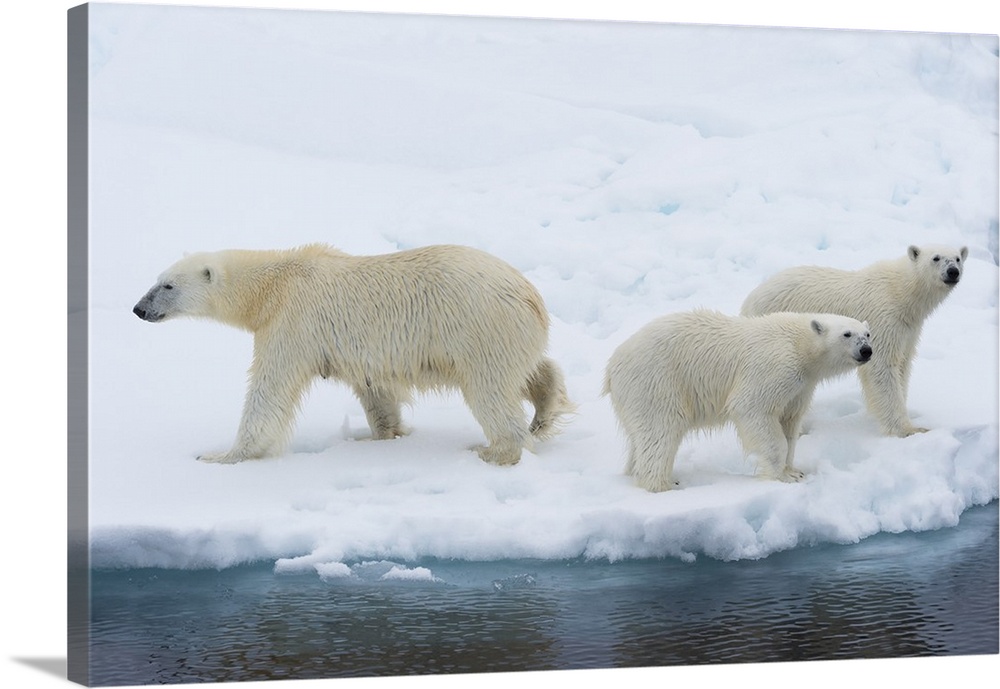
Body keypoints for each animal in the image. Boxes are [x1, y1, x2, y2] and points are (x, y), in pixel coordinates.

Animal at [134, 245, 576, 464]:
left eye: (168, 285)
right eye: (157, 280)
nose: (139, 308)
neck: (275, 283)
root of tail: (530, 295)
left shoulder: (294, 323)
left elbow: (269, 390)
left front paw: (223, 455)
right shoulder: (360, 353)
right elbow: (376, 393)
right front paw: (381, 436)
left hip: (478, 328)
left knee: (490, 389)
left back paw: (494, 450)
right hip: (507, 333)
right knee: (531, 369)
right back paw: (545, 409)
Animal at [604, 310, 872, 492]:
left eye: (868, 334)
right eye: (847, 334)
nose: (866, 350)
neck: (799, 343)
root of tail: (613, 364)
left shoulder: (801, 386)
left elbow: (789, 422)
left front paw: (794, 471)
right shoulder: (775, 366)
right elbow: (753, 408)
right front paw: (780, 477)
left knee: (641, 438)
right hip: (657, 382)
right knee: (661, 430)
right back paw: (664, 484)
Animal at [740, 243, 964, 436]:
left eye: (958, 258)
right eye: (936, 258)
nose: (953, 272)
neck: (900, 291)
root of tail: (749, 300)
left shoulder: (908, 329)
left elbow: (903, 364)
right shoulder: (883, 318)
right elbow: (882, 367)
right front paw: (908, 429)